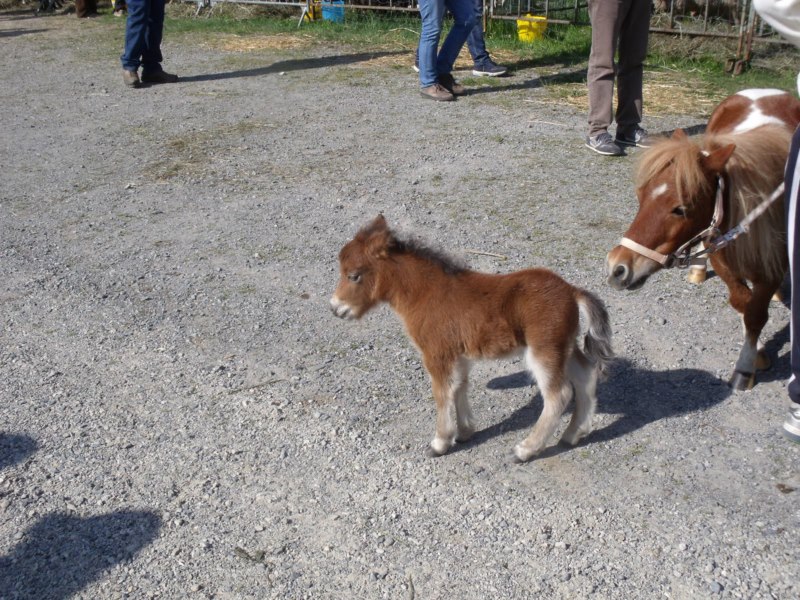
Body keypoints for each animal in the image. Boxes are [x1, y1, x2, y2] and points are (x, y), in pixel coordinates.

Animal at [330, 217, 612, 464]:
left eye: (354, 275)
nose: (335, 308)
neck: (424, 294)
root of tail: (572, 292)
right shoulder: (459, 355)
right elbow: (459, 387)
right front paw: (465, 432)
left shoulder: (436, 353)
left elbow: (442, 392)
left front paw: (440, 443)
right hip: (565, 346)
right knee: (586, 375)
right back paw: (573, 435)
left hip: (544, 350)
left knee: (559, 395)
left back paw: (524, 450)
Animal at [608, 89, 800, 390]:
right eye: (641, 196)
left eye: (681, 208)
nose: (617, 267)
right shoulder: (722, 259)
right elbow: (742, 303)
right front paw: (756, 352)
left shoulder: (770, 270)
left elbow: (755, 312)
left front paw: (745, 366)